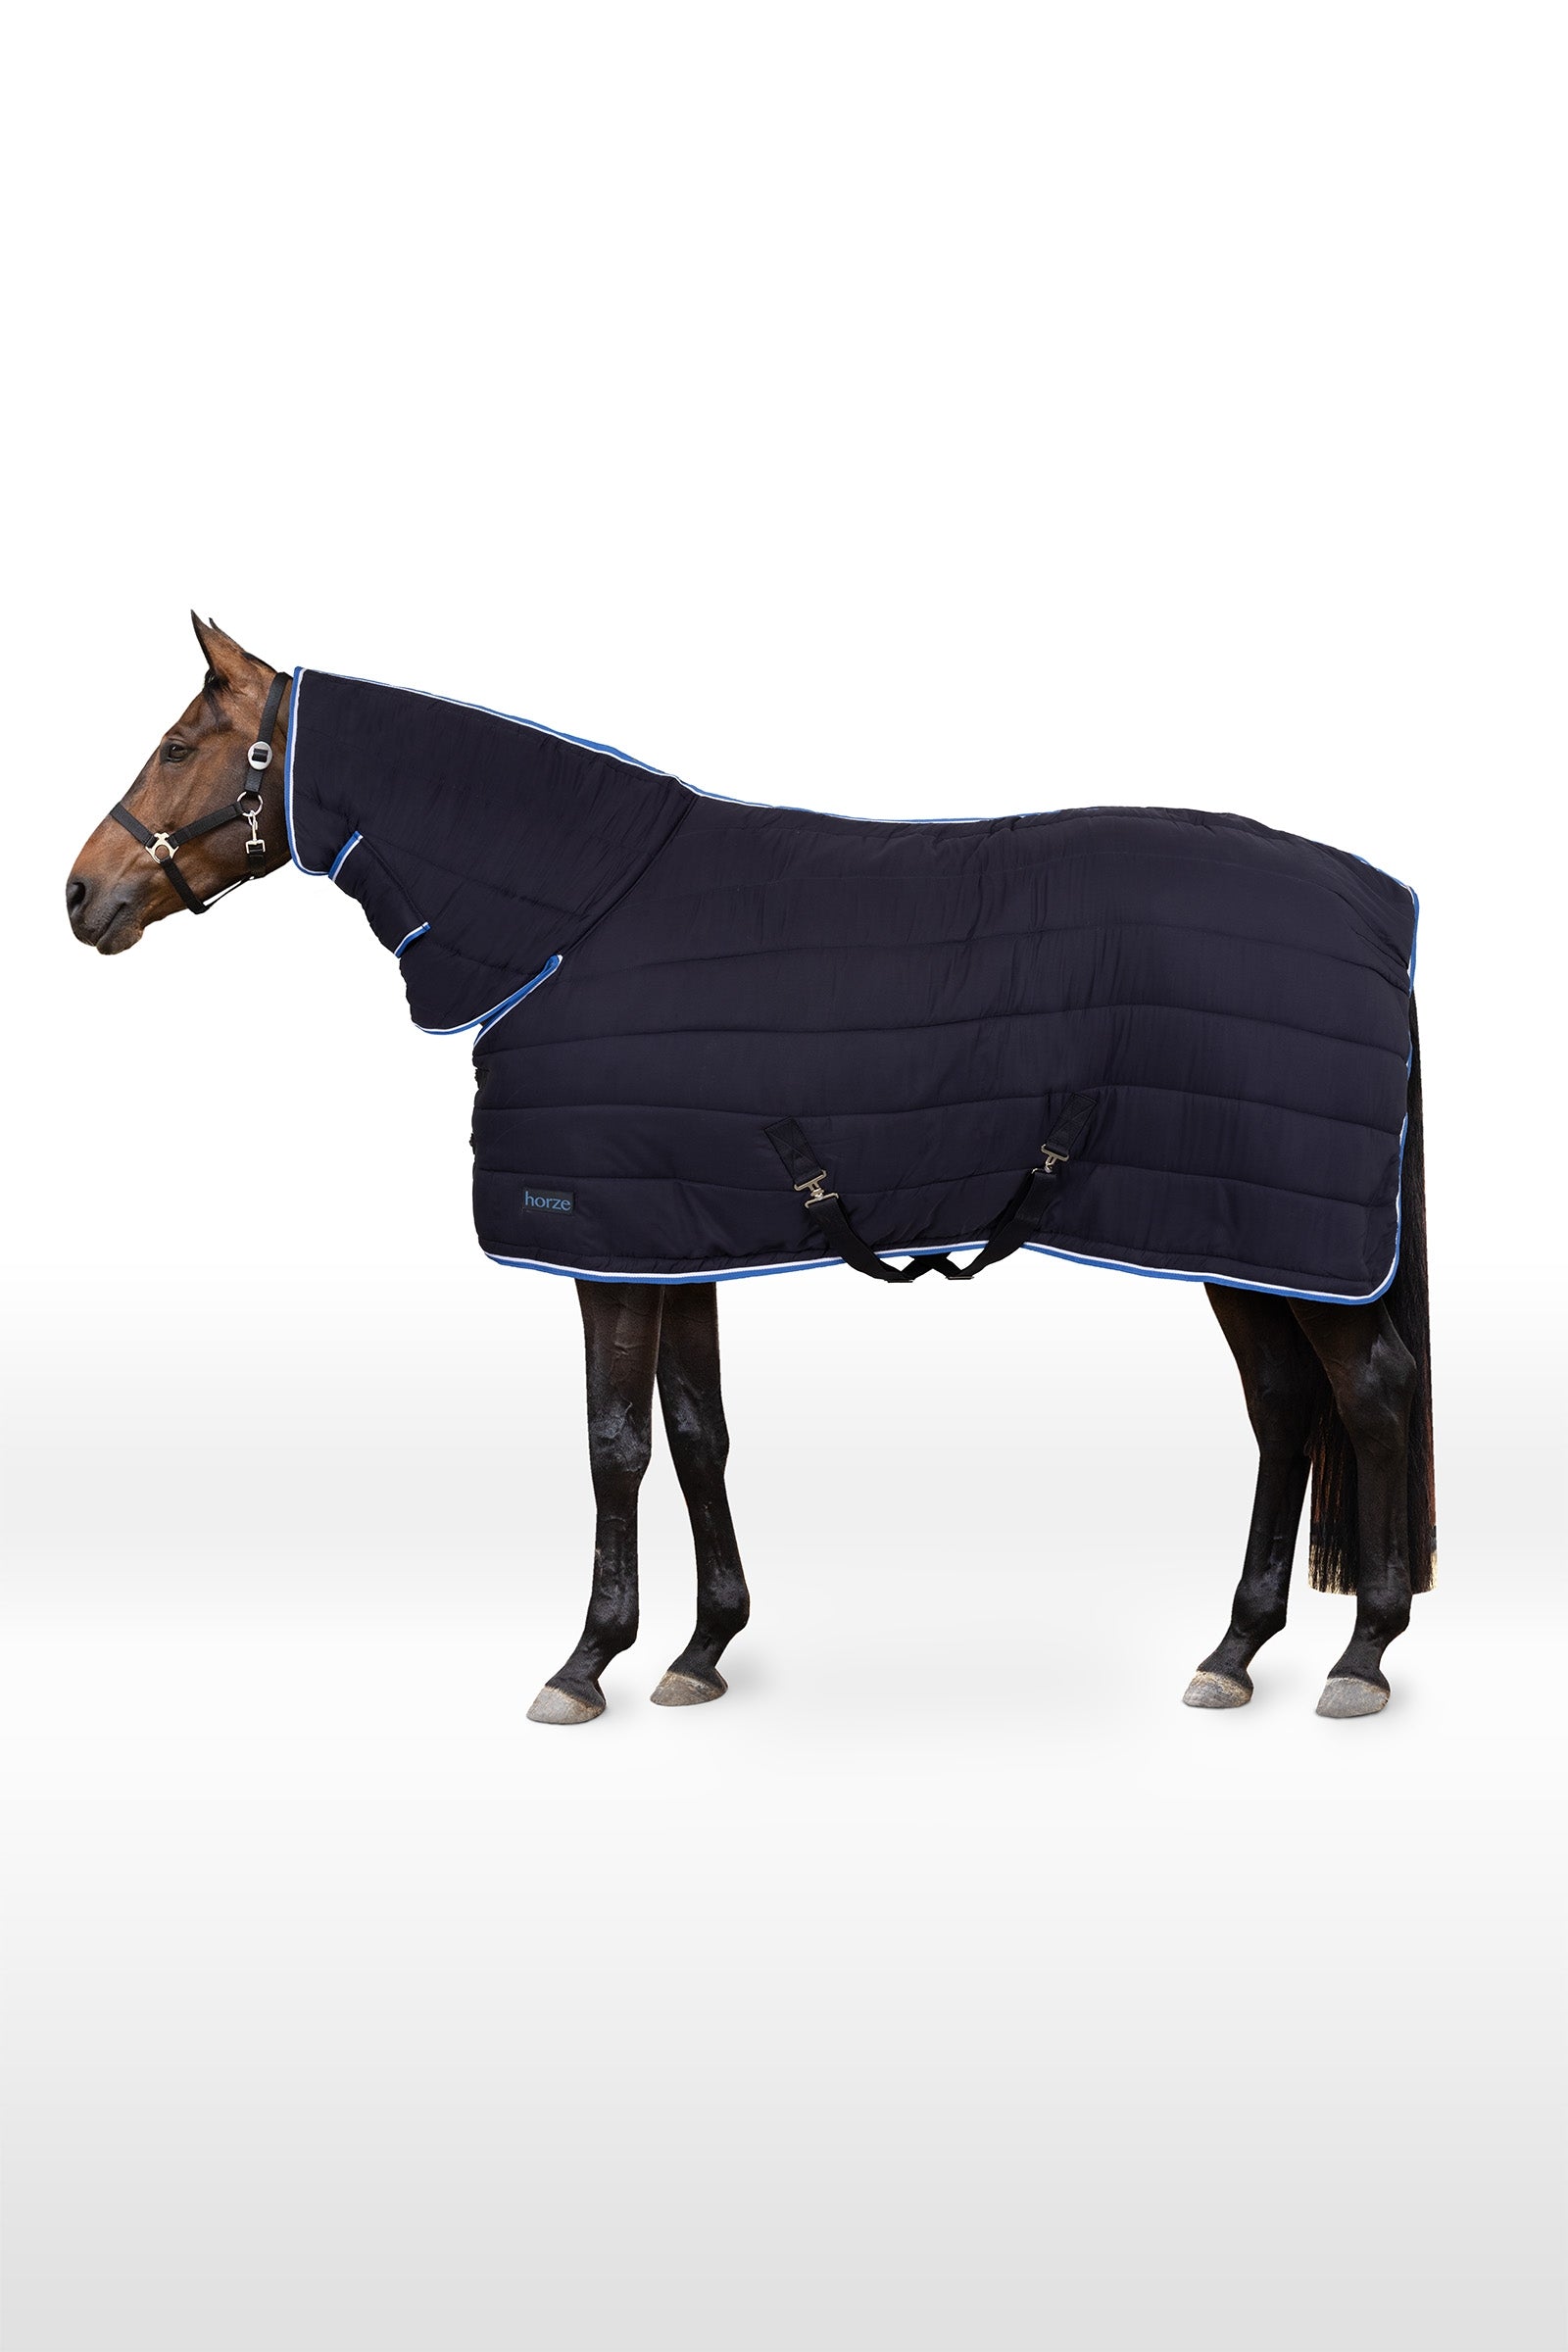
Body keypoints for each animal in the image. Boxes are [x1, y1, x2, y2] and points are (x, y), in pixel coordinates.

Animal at [66, 616, 1436, 1724]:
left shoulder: (601, 1245)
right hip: (1227, 1233)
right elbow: (696, 1431)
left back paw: (1362, 1655)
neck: (568, 925)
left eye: (182, 746)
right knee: (1285, 1408)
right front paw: (702, 1648)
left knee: (1368, 1397)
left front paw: (587, 1663)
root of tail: (1378, 915)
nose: (82, 895)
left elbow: (614, 1442)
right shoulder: (668, 1236)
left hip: (1279, 1237)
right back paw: (1236, 1650)